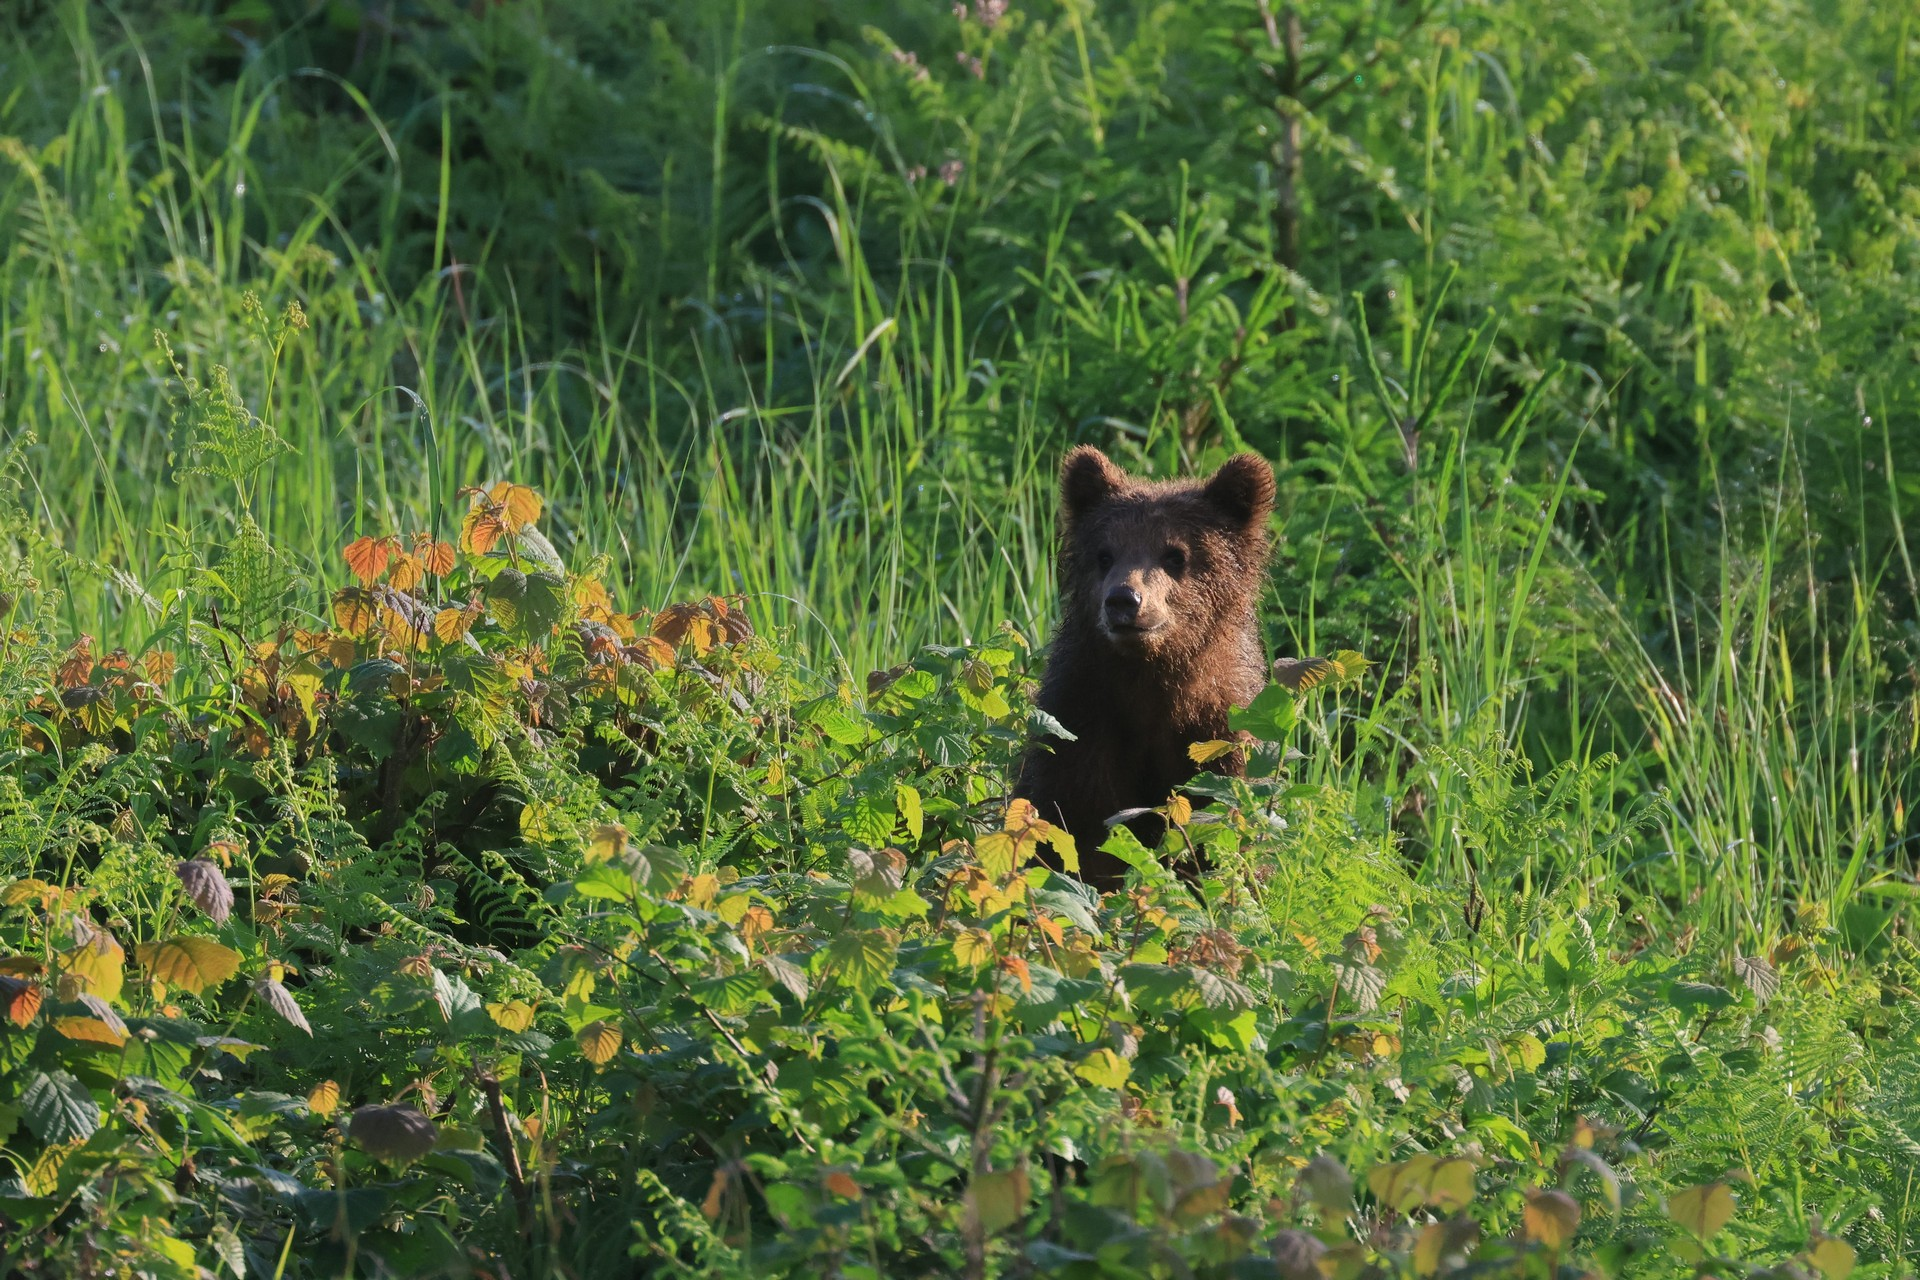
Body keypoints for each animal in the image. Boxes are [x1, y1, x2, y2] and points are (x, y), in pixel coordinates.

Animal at [1021, 445, 1274, 886]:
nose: (1124, 599)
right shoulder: (1081, 729)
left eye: (1175, 554)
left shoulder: (1217, 739)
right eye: (1104, 555)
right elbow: (1075, 834)